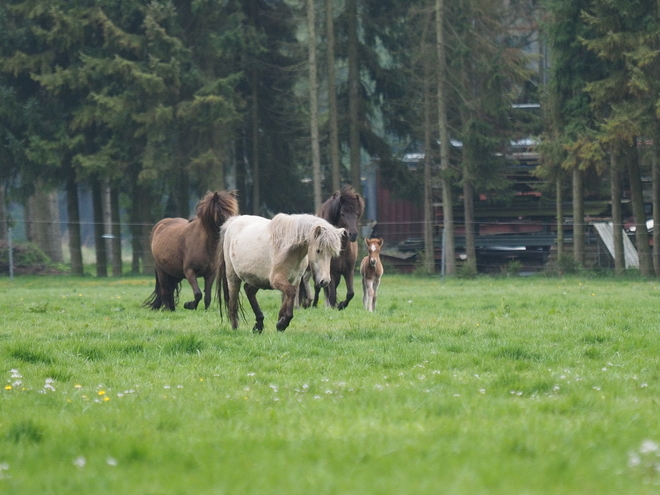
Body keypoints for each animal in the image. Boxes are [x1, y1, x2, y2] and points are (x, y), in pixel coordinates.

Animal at [306, 184, 366, 312]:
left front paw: (341, 305)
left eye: (357, 213)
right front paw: (334, 307)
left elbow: (350, 293)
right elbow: (332, 294)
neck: (342, 250)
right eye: (342, 213)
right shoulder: (331, 272)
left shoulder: (349, 270)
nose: (353, 234)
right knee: (317, 287)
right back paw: (314, 305)